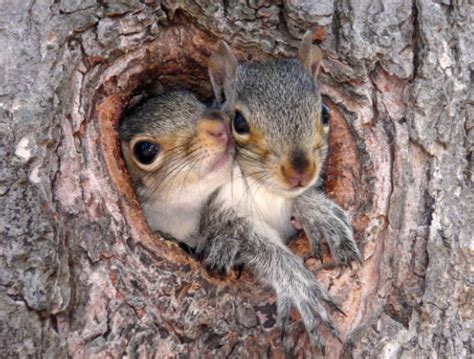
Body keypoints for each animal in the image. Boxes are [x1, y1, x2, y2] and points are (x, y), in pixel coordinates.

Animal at [193, 31, 362, 348]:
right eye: (239, 122)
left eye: (324, 113)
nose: (300, 172)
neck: (265, 188)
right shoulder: (217, 210)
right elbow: (252, 241)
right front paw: (296, 282)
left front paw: (317, 212)